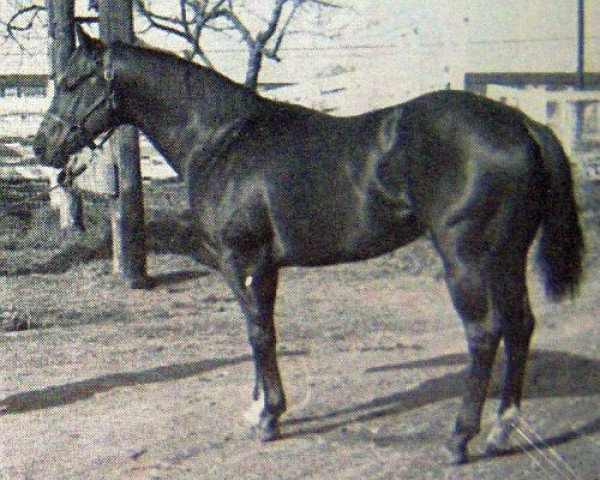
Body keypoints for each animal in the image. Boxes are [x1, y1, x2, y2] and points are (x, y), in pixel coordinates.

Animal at [30, 28, 584, 464]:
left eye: (72, 82)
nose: (42, 147)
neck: (222, 139)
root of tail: (522, 125)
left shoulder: (240, 258)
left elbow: (258, 333)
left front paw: (270, 418)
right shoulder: (263, 264)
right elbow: (261, 329)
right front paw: (258, 406)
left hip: (466, 260)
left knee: (485, 334)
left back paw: (460, 439)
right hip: (505, 257)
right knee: (520, 326)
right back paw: (501, 430)